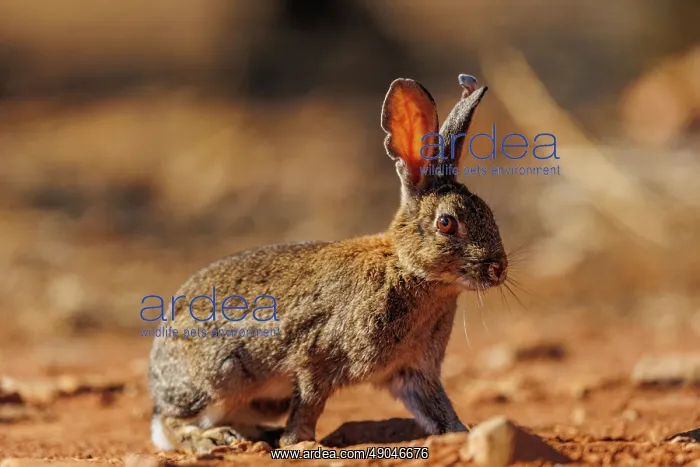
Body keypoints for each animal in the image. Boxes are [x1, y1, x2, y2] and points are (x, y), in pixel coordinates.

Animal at [148, 73, 508, 453]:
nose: (498, 268)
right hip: (222, 374)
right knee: (172, 421)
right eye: (446, 223)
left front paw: (462, 434)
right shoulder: (315, 358)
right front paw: (298, 444)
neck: (406, 272)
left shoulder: (414, 372)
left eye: (489, 213)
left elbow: (439, 410)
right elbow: (309, 404)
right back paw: (214, 439)